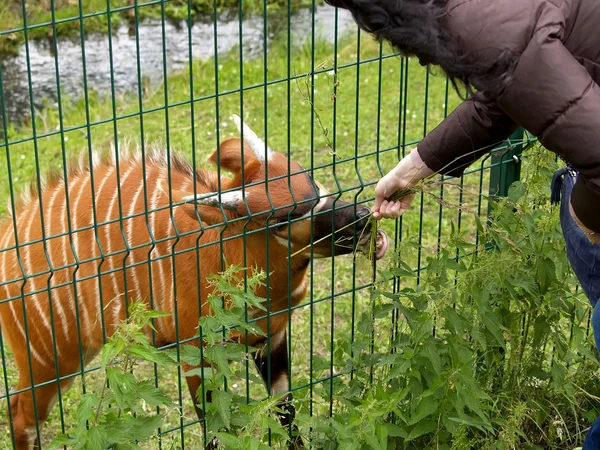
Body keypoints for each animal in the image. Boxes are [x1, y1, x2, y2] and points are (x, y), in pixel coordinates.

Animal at [0, 117, 390, 450]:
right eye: (281, 219)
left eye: (313, 182)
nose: (362, 220)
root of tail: (8, 236)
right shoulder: (197, 355)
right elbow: (214, 430)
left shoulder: (272, 338)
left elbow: (286, 412)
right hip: (50, 358)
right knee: (20, 413)